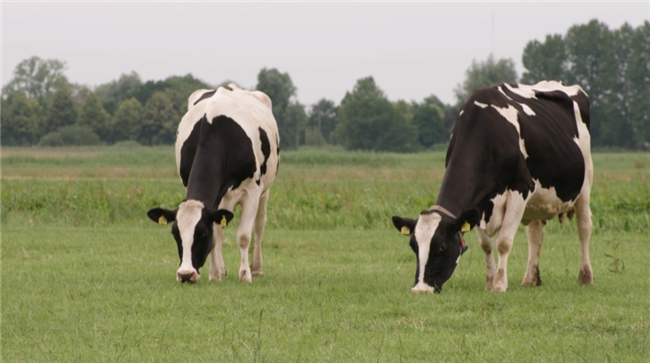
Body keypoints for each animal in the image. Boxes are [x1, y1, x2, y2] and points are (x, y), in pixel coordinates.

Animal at [147, 84, 278, 282]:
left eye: (203, 233)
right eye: (175, 234)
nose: (186, 274)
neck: (216, 133)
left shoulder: (252, 190)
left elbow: (244, 236)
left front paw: (245, 275)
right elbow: (217, 236)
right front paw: (215, 274)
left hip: (265, 191)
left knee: (259, 224)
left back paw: (256, 268)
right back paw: (222, 269)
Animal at [390, 81, 592, 294]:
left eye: (442, 246)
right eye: (413, 246)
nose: (420, 289)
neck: (485, 132)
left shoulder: (521, 189)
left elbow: (503, 242)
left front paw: (499, 283)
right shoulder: (478, 203)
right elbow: (486, 245)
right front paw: (489, 280)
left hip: (586, 181)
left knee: (584, 227)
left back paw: (586, 277)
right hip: (538, 200)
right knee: (535, 235)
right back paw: (530, 278)